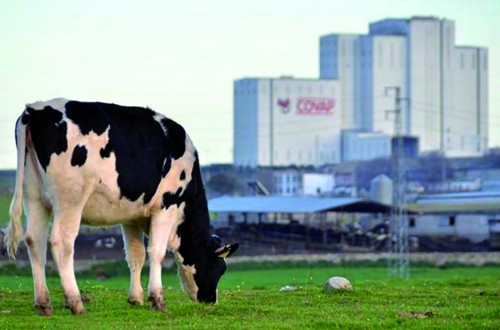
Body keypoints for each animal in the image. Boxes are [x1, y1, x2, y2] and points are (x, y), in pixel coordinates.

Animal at [3, 99, 238, 316]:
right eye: (221, 268)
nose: (211, 300)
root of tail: (35, 110)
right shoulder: (167, 207)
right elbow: (157, 252)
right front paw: (157, 300)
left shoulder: (131, 216)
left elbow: (136, 254)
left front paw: (136, 298)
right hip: (69, 199)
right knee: (61, 242)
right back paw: (75, 302)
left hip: (34, 197)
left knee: (35, 240)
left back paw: (44, 303)